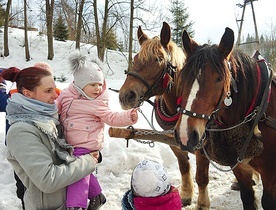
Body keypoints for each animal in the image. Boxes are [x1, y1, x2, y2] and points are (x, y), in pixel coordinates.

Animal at [118, 21, 211, 208]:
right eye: (135, 59)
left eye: (159, 59)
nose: (126, 96)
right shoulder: (172, 141)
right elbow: (184, 166)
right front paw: (186, 194)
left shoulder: (202, 145)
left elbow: (202, 177)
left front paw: (202, 203)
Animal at [175, 27, 276, 209]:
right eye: (183, 77)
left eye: (219, 78)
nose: (185, 135)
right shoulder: (239, 167)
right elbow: (247, 197)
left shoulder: (271, 172)